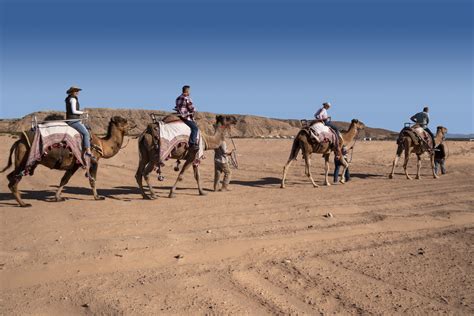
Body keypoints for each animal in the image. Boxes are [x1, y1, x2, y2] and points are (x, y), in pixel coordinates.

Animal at [0, 116, 131, 207]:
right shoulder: (93, 161)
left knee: (10, 176)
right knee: (14, 181)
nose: (131, 125)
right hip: (25, 159)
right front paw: (98, 197)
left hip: (22, 160)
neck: (102, 144)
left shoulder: (75, 164)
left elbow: (64, 179)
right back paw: (23, 204)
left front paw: (58, 197)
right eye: (122, 120)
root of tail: (19, 140)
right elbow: (92, 180)